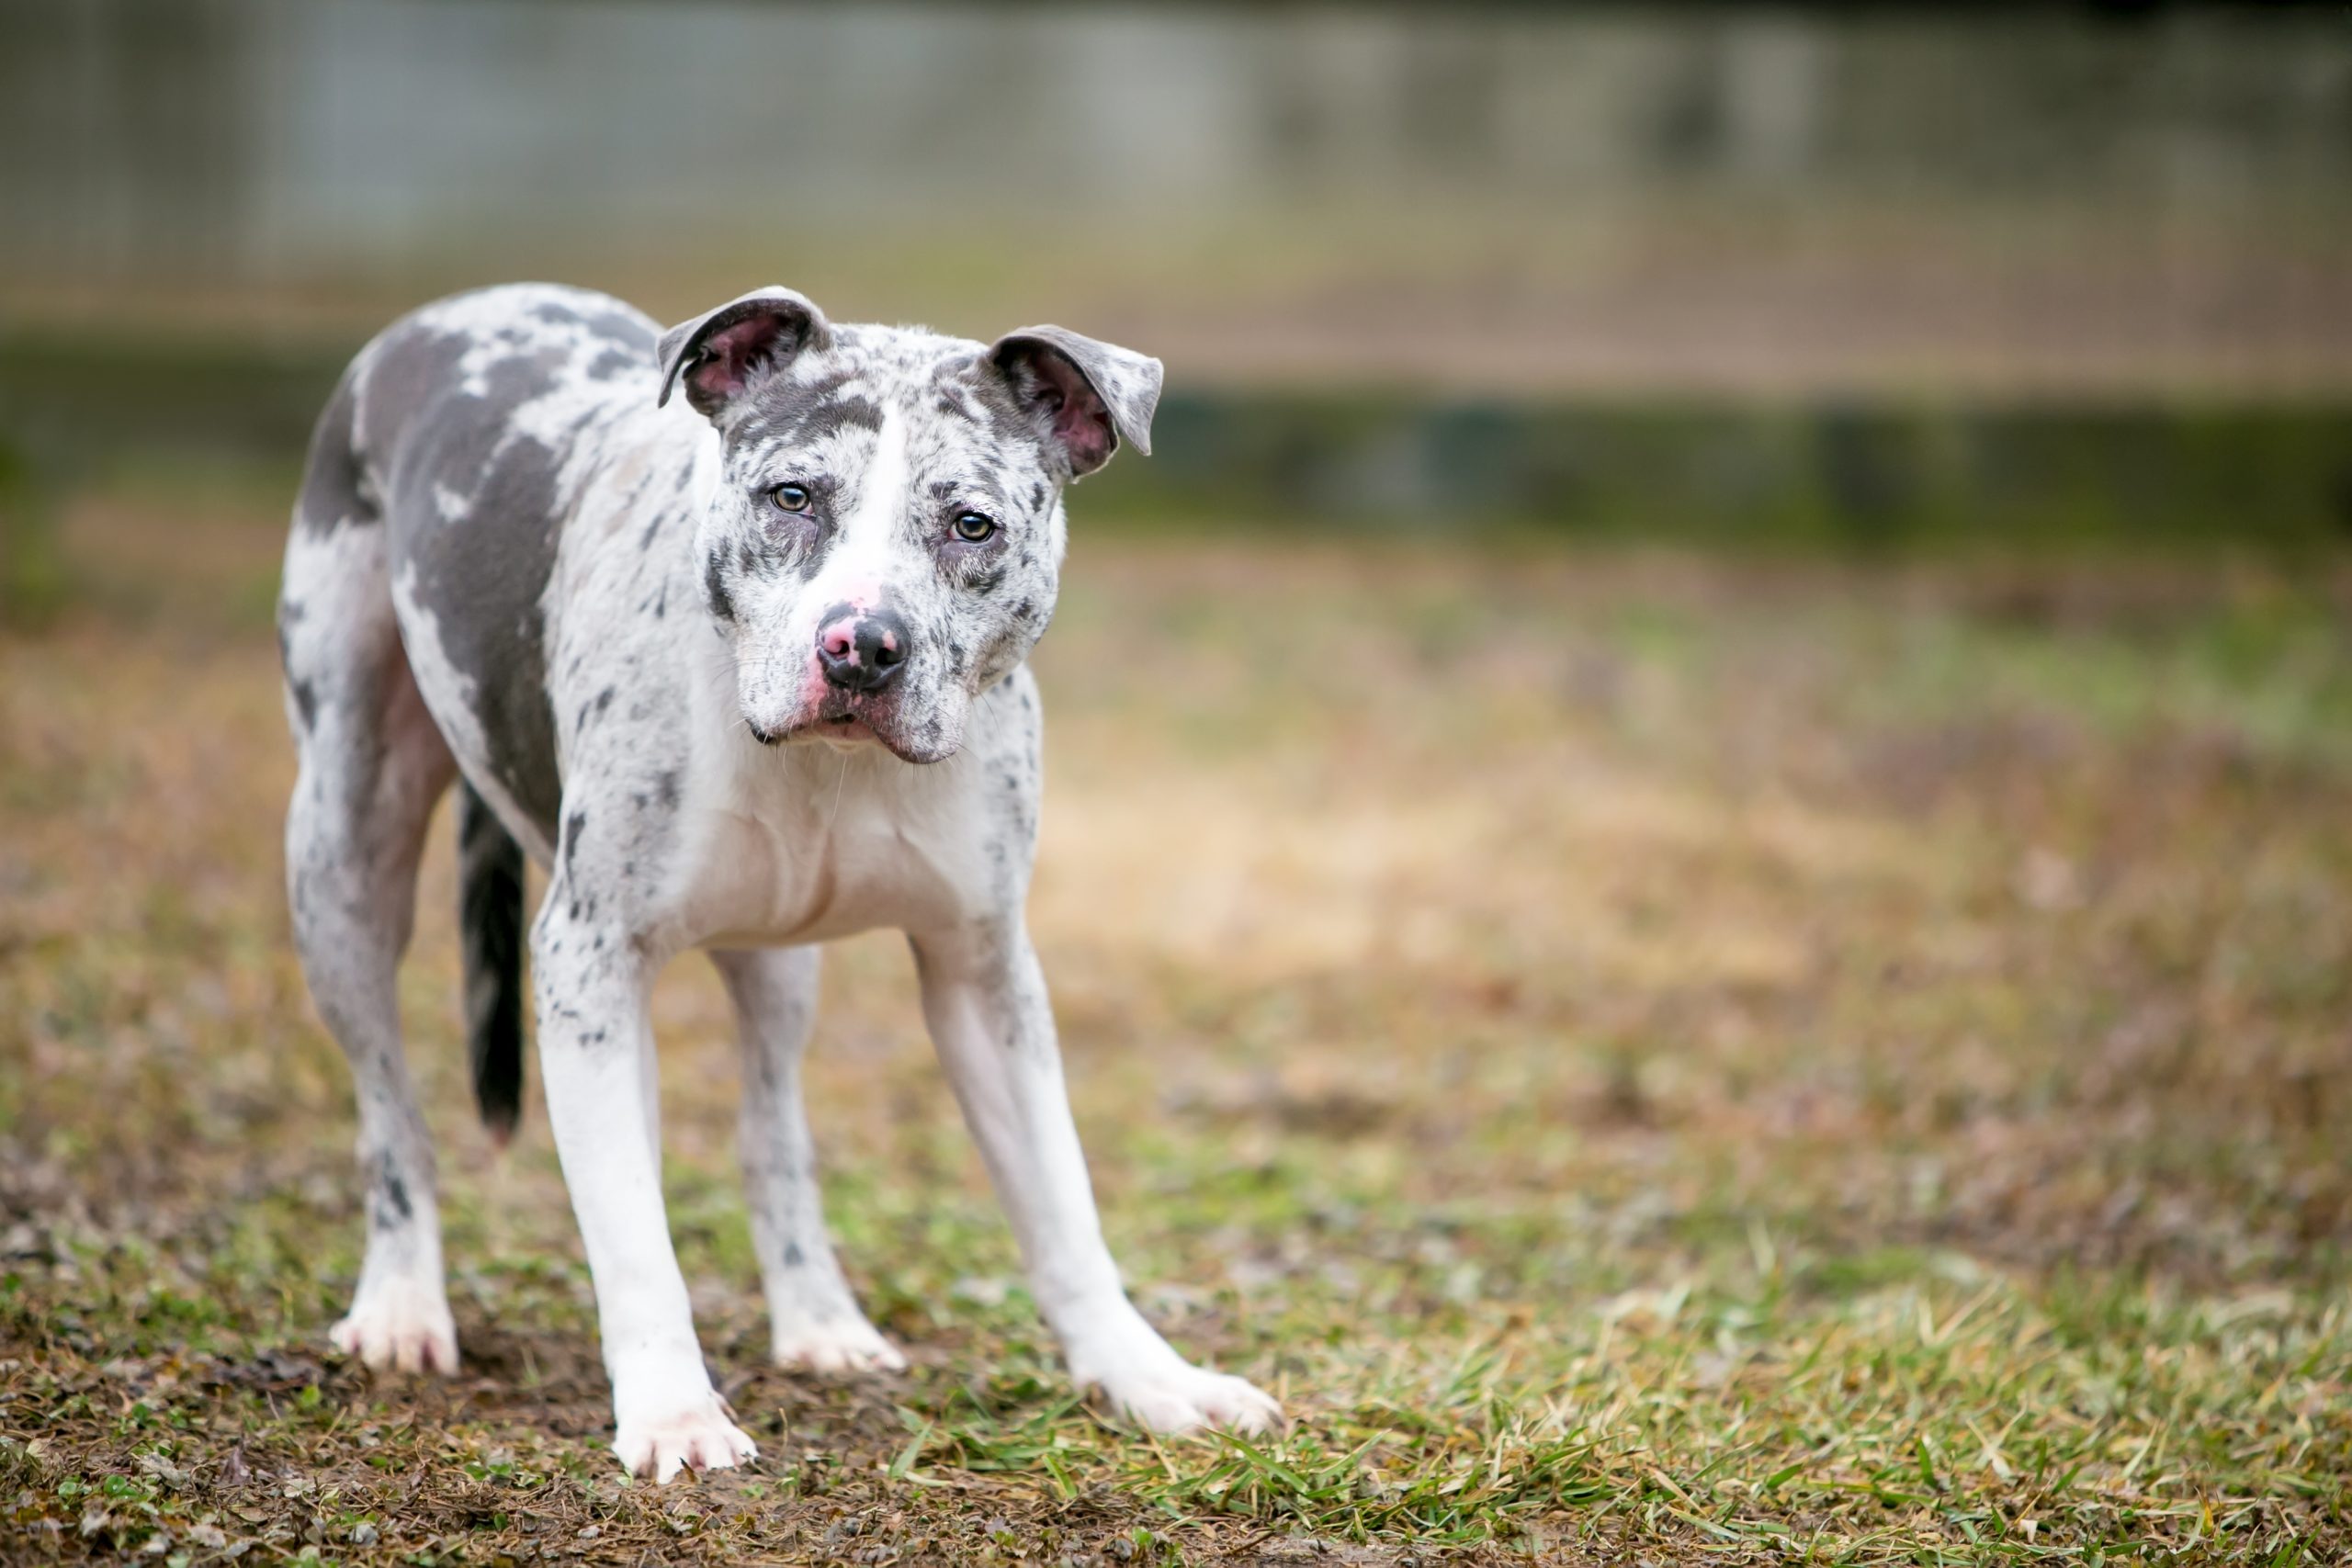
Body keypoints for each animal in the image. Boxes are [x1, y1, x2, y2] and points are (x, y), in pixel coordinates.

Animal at [279, 285, 1288, 1485]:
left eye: (973, 525)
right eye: (793, 496)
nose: (861, 645)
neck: (829, 766)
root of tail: (459, 306)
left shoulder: (984, 972)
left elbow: (1061, 1205)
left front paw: (1148, 1378)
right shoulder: (587, 962)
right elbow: (631, 1230)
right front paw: (672, 1413)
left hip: (774, 964)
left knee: (771, 1135)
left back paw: (820, 1321)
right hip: (344, 856)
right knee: (394, 1112)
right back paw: (398, 1303)